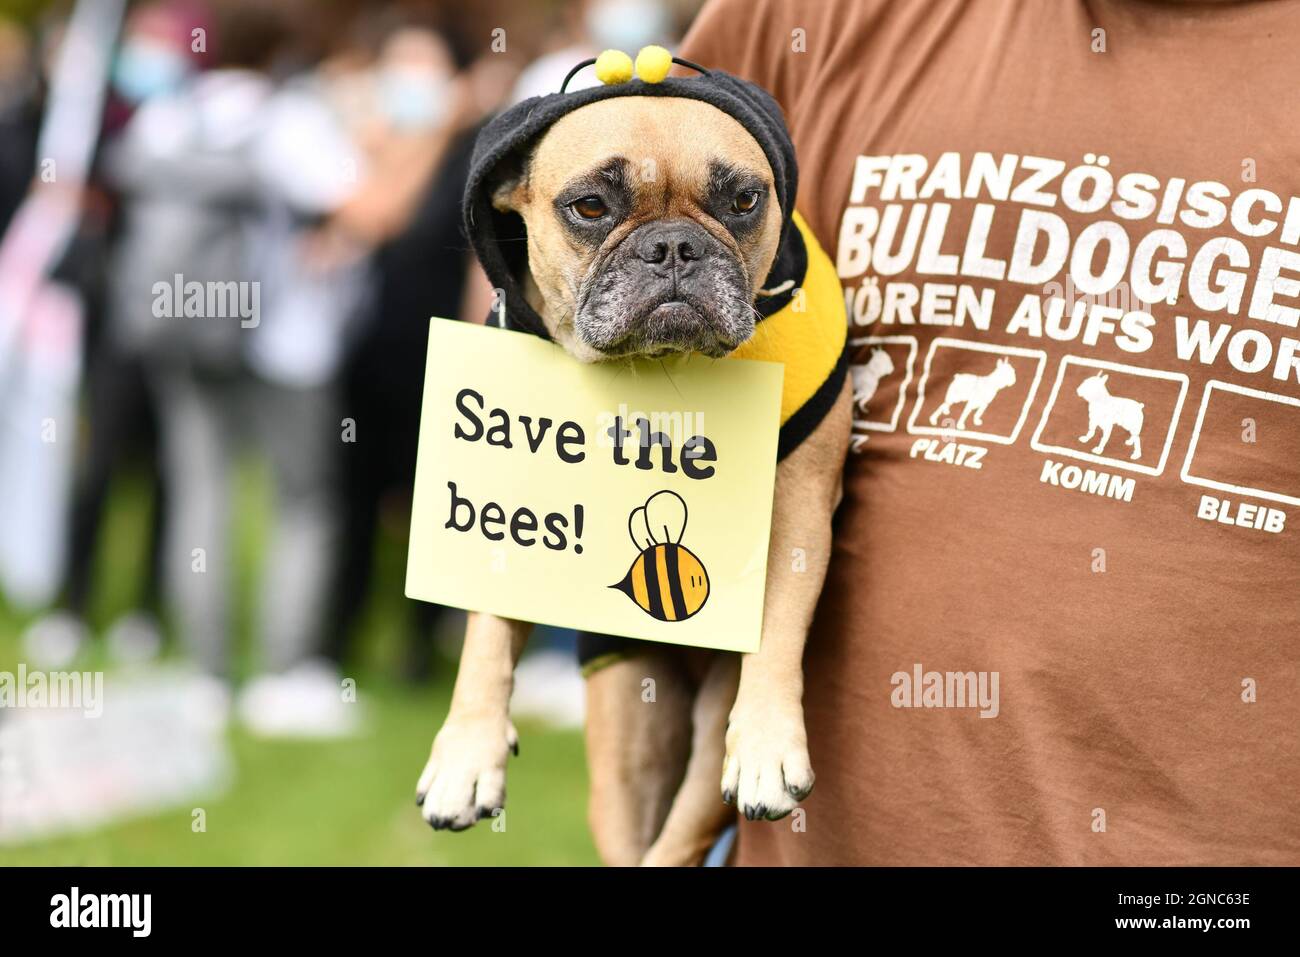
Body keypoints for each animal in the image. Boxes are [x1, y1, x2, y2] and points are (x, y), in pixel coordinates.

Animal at [410, 91, 847, 868]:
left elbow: (779, 625)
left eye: (744, 200)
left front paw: (769, 741)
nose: (673, 246)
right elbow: (486, 636)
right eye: (589, 206)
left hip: (702, 739)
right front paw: (466, 751)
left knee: (683, 832)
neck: (652, 371)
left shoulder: (796, 511)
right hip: (625, 744)